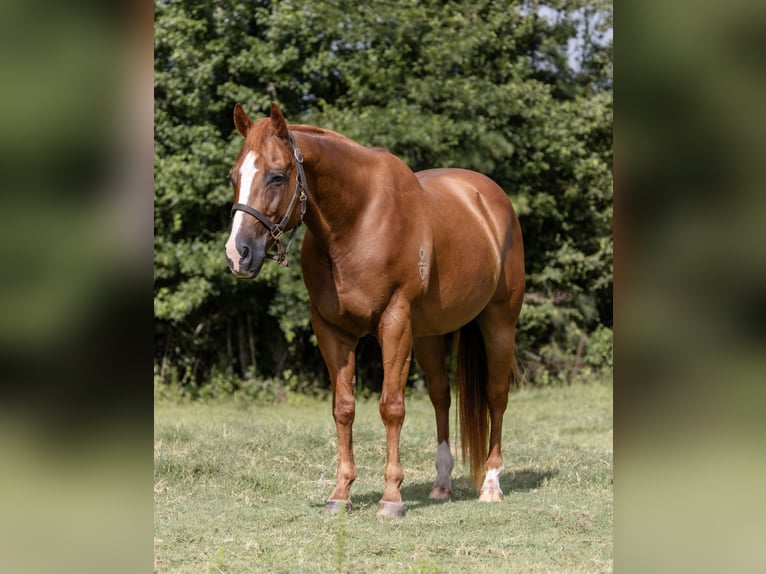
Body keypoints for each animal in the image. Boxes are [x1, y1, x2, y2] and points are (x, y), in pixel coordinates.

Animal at [225, 103, 525, 517]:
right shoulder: (332, 331)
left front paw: (392, 498)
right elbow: (343, 408)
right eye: (234, 176)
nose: (238, 254)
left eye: (277, 176)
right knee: (441, 396)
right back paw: (441, 485)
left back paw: (492, 484)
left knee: (496, 396)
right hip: (427, 335)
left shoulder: (394, 323)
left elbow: (391, 406)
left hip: (499, 322)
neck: (357, 221)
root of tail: (491, 199)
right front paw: (340, 494)